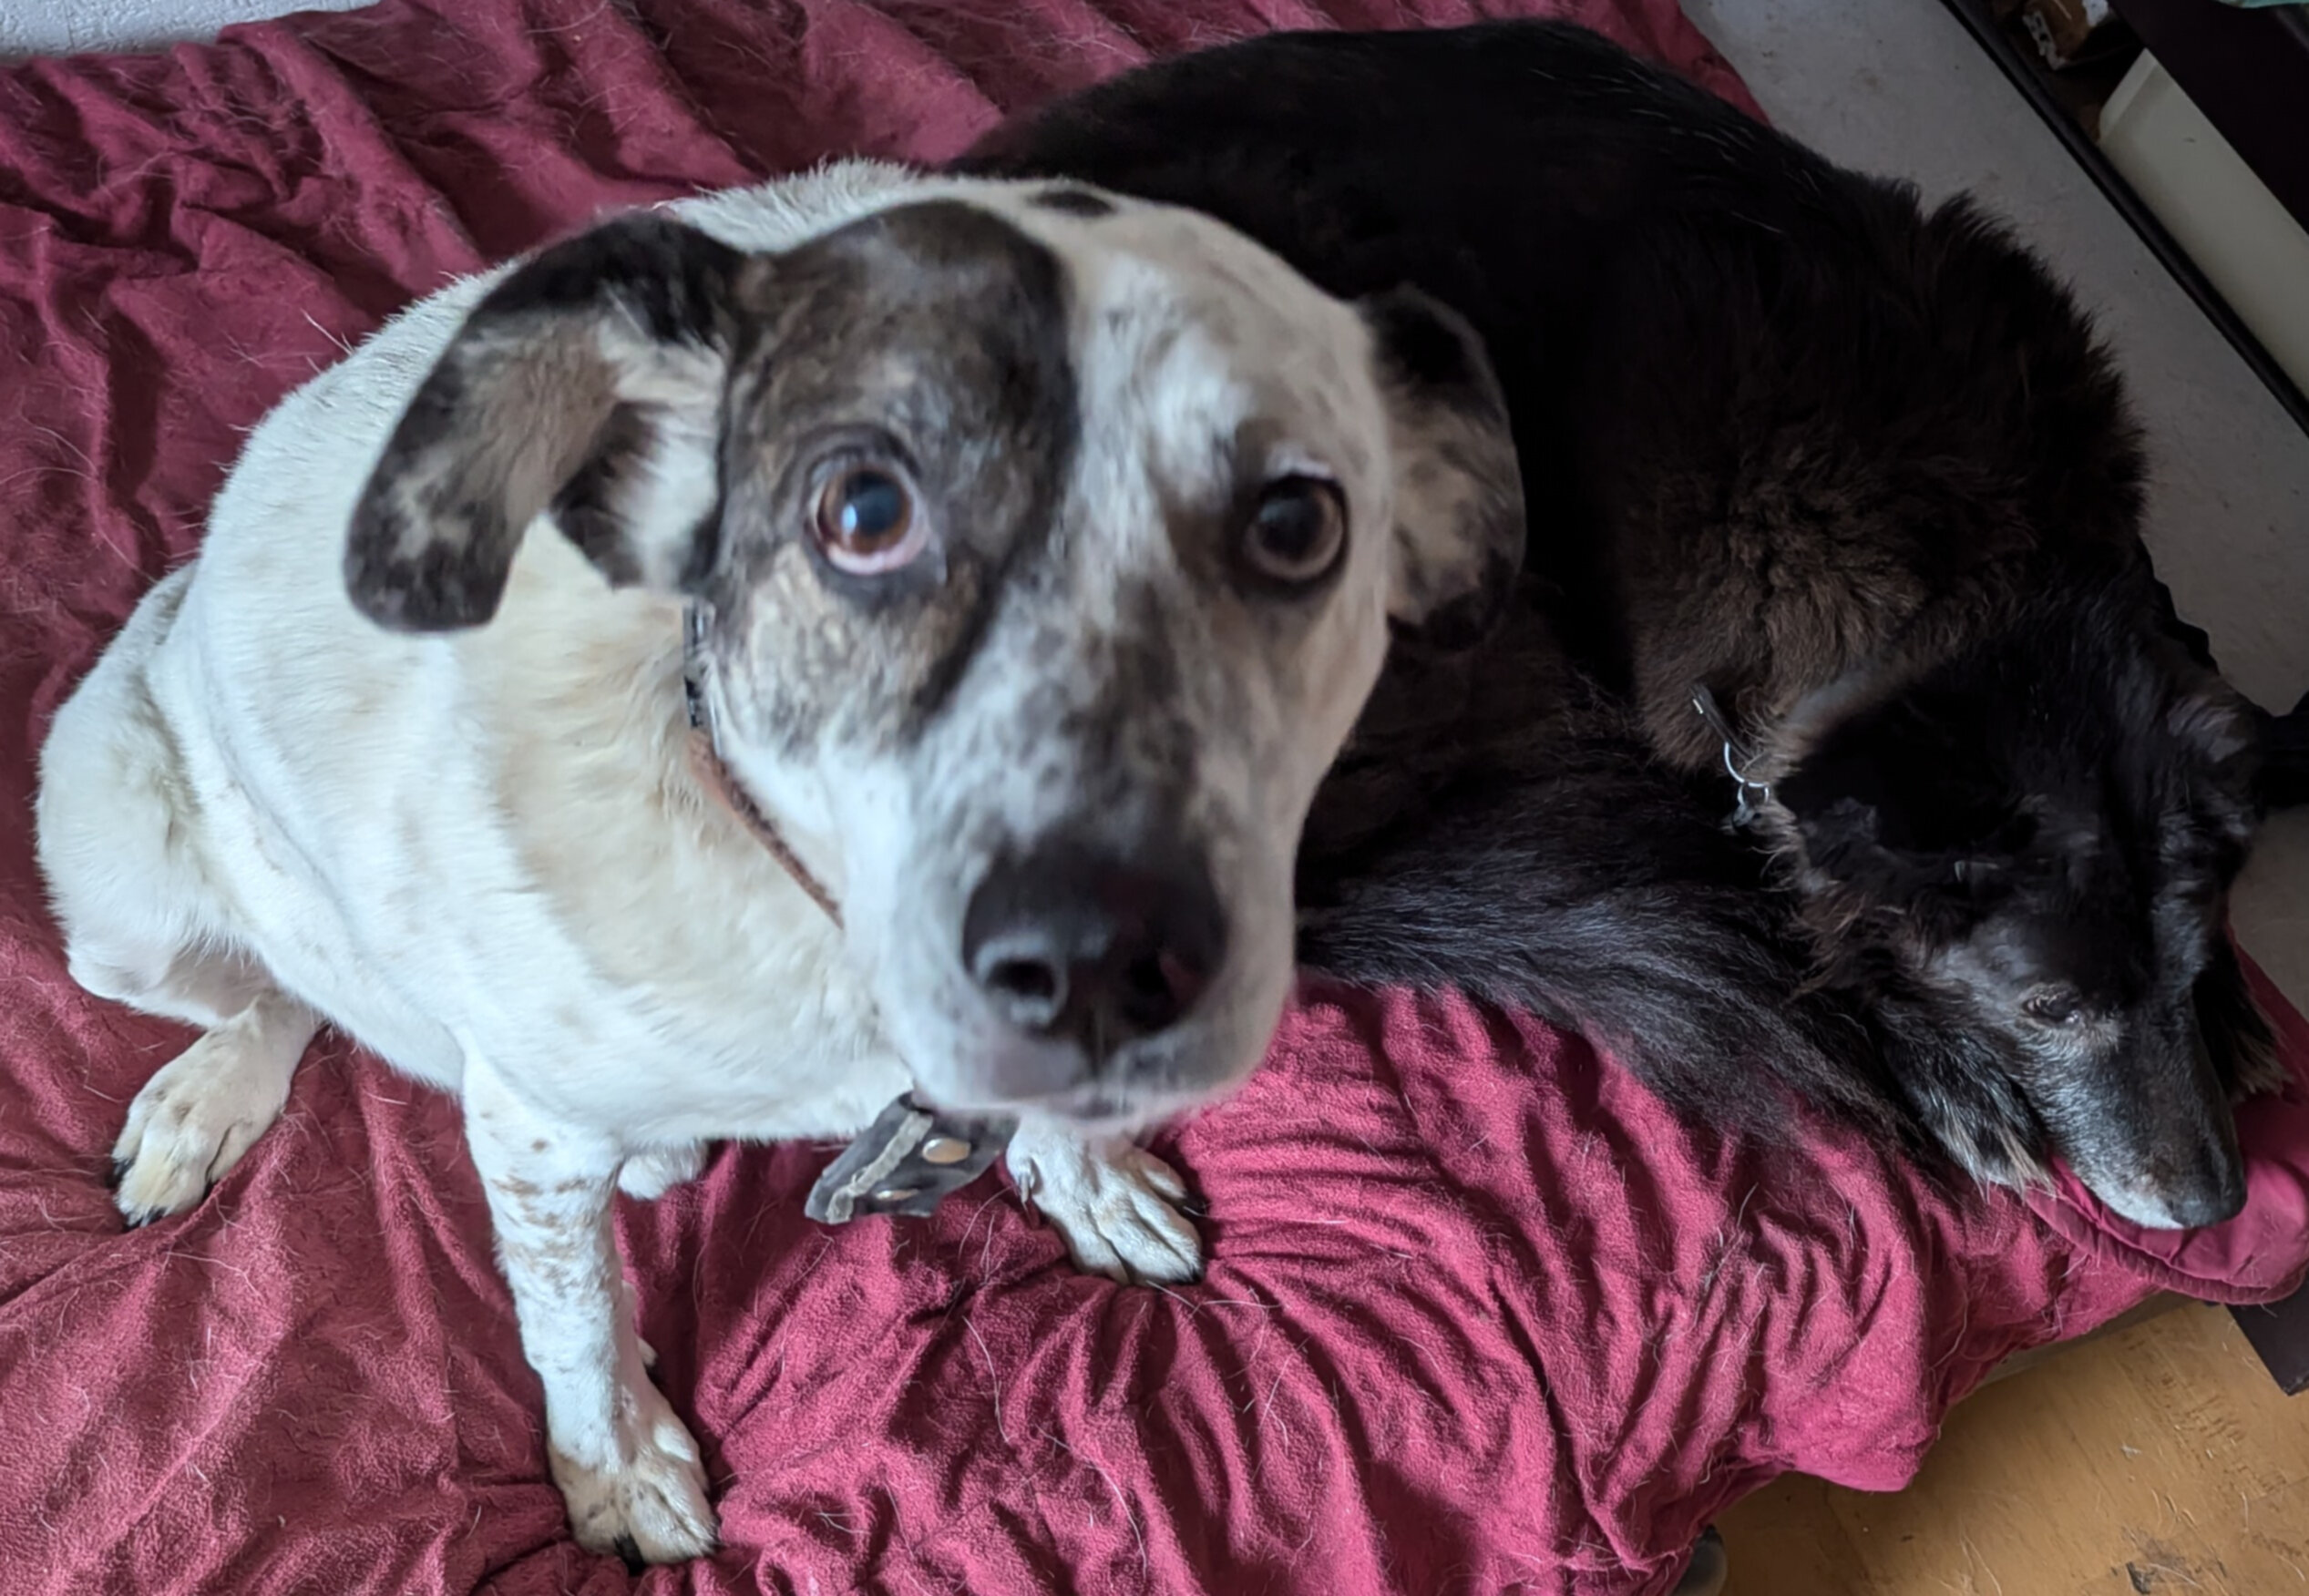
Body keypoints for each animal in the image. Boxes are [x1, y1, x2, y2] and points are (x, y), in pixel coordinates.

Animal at [33, 164, 1524, 1560]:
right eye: (860, 511)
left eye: (1295, 525)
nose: (1098, 959)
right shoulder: (528, 1126)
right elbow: (573, 1321)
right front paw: (618, 1470)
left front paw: (1085, 1177)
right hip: (116, 870)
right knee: (280, 996)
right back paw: (209, 1099)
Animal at [960, 19, 2302, 1228]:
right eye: (2046, 1012)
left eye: (2197, 954)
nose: (2214, 1206)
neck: (1977, 547)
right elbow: (1780, 876)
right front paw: (1944, 1065)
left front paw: (2234, 1011)